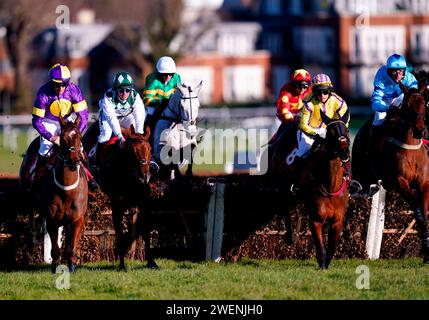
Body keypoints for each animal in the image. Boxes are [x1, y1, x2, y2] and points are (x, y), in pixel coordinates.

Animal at [38, 115, 88, 272]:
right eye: (62, 136)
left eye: (79, 136)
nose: (72, 160)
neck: (67, 191)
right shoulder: (51, 219)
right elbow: (55, 248)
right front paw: (55, 266)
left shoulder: (78, 219)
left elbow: (72, 246)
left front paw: (72, 265)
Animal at [93, 125, 154, 270]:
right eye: (132, 150)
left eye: (149, 149)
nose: (144, 177)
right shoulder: (116, 207)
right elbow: (119, 234)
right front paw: (122, 265)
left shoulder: (143, 204)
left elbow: (145, 231)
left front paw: (151, 262)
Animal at [352, 82, 428, 262]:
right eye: (408, 105)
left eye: (424, 103)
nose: (420, 131)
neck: (410, 147)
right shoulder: (398, 181)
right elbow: (416, 205)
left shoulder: (424, 183)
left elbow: (423, 208)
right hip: (363, 180)